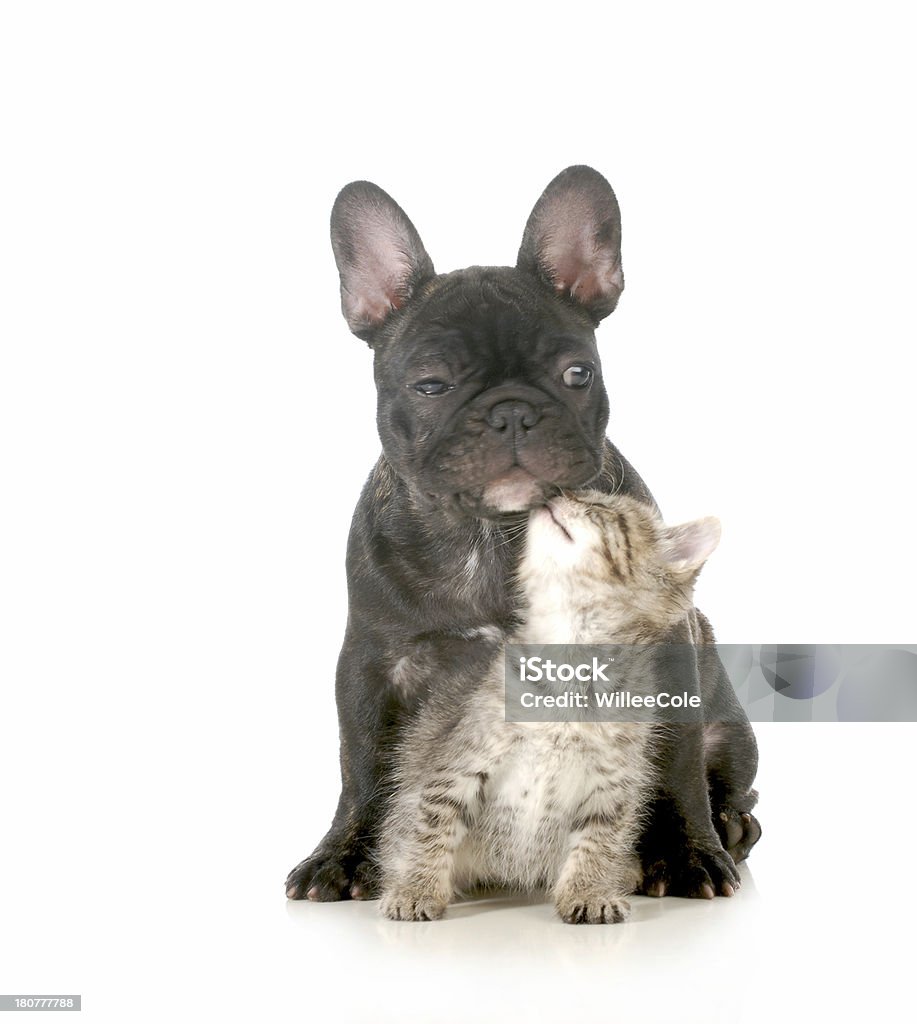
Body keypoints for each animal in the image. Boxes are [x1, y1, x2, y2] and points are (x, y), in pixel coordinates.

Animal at [376, 491, 720, 925]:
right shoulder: (460, 763)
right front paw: (416, 888)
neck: (569, 663)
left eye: (601, 509)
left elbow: (600, 838)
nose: (559, 492)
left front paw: (589, 891)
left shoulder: (613, 782)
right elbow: (432, 826)